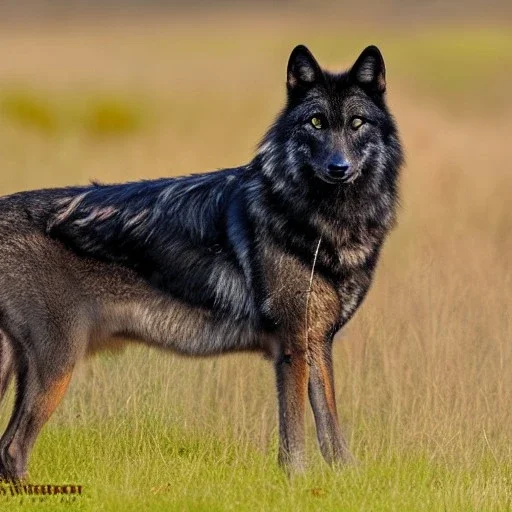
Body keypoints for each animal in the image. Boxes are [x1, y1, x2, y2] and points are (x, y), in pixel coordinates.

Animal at [0, 45, 402, 480]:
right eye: (316, 122)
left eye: (357, 123)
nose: (338, 167)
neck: (324, 223)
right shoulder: (293, 343)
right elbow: (295, 434)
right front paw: (297, 480)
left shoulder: (317, 340)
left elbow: (330, 427)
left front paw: (348, 476)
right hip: (58, 364)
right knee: (14, 449)